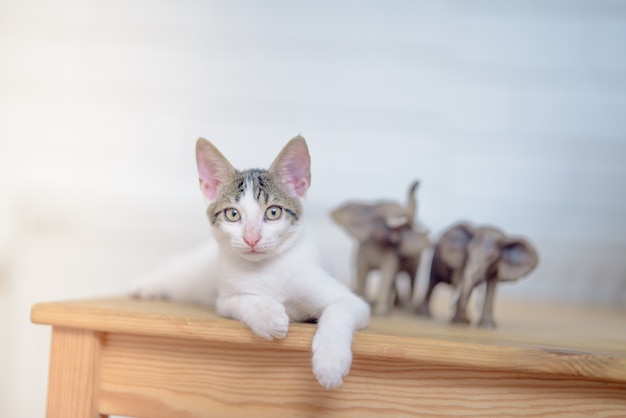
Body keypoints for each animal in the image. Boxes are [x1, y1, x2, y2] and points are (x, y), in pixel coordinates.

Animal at [129, 136, 368, 390]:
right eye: (232, 214)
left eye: (273, 212)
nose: (251, 238)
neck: (267, 268)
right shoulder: (225, 298)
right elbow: (240, 302)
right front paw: (268, 317)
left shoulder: (351, 301)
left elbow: (340, 311)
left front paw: (330, 363)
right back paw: (143, 286)